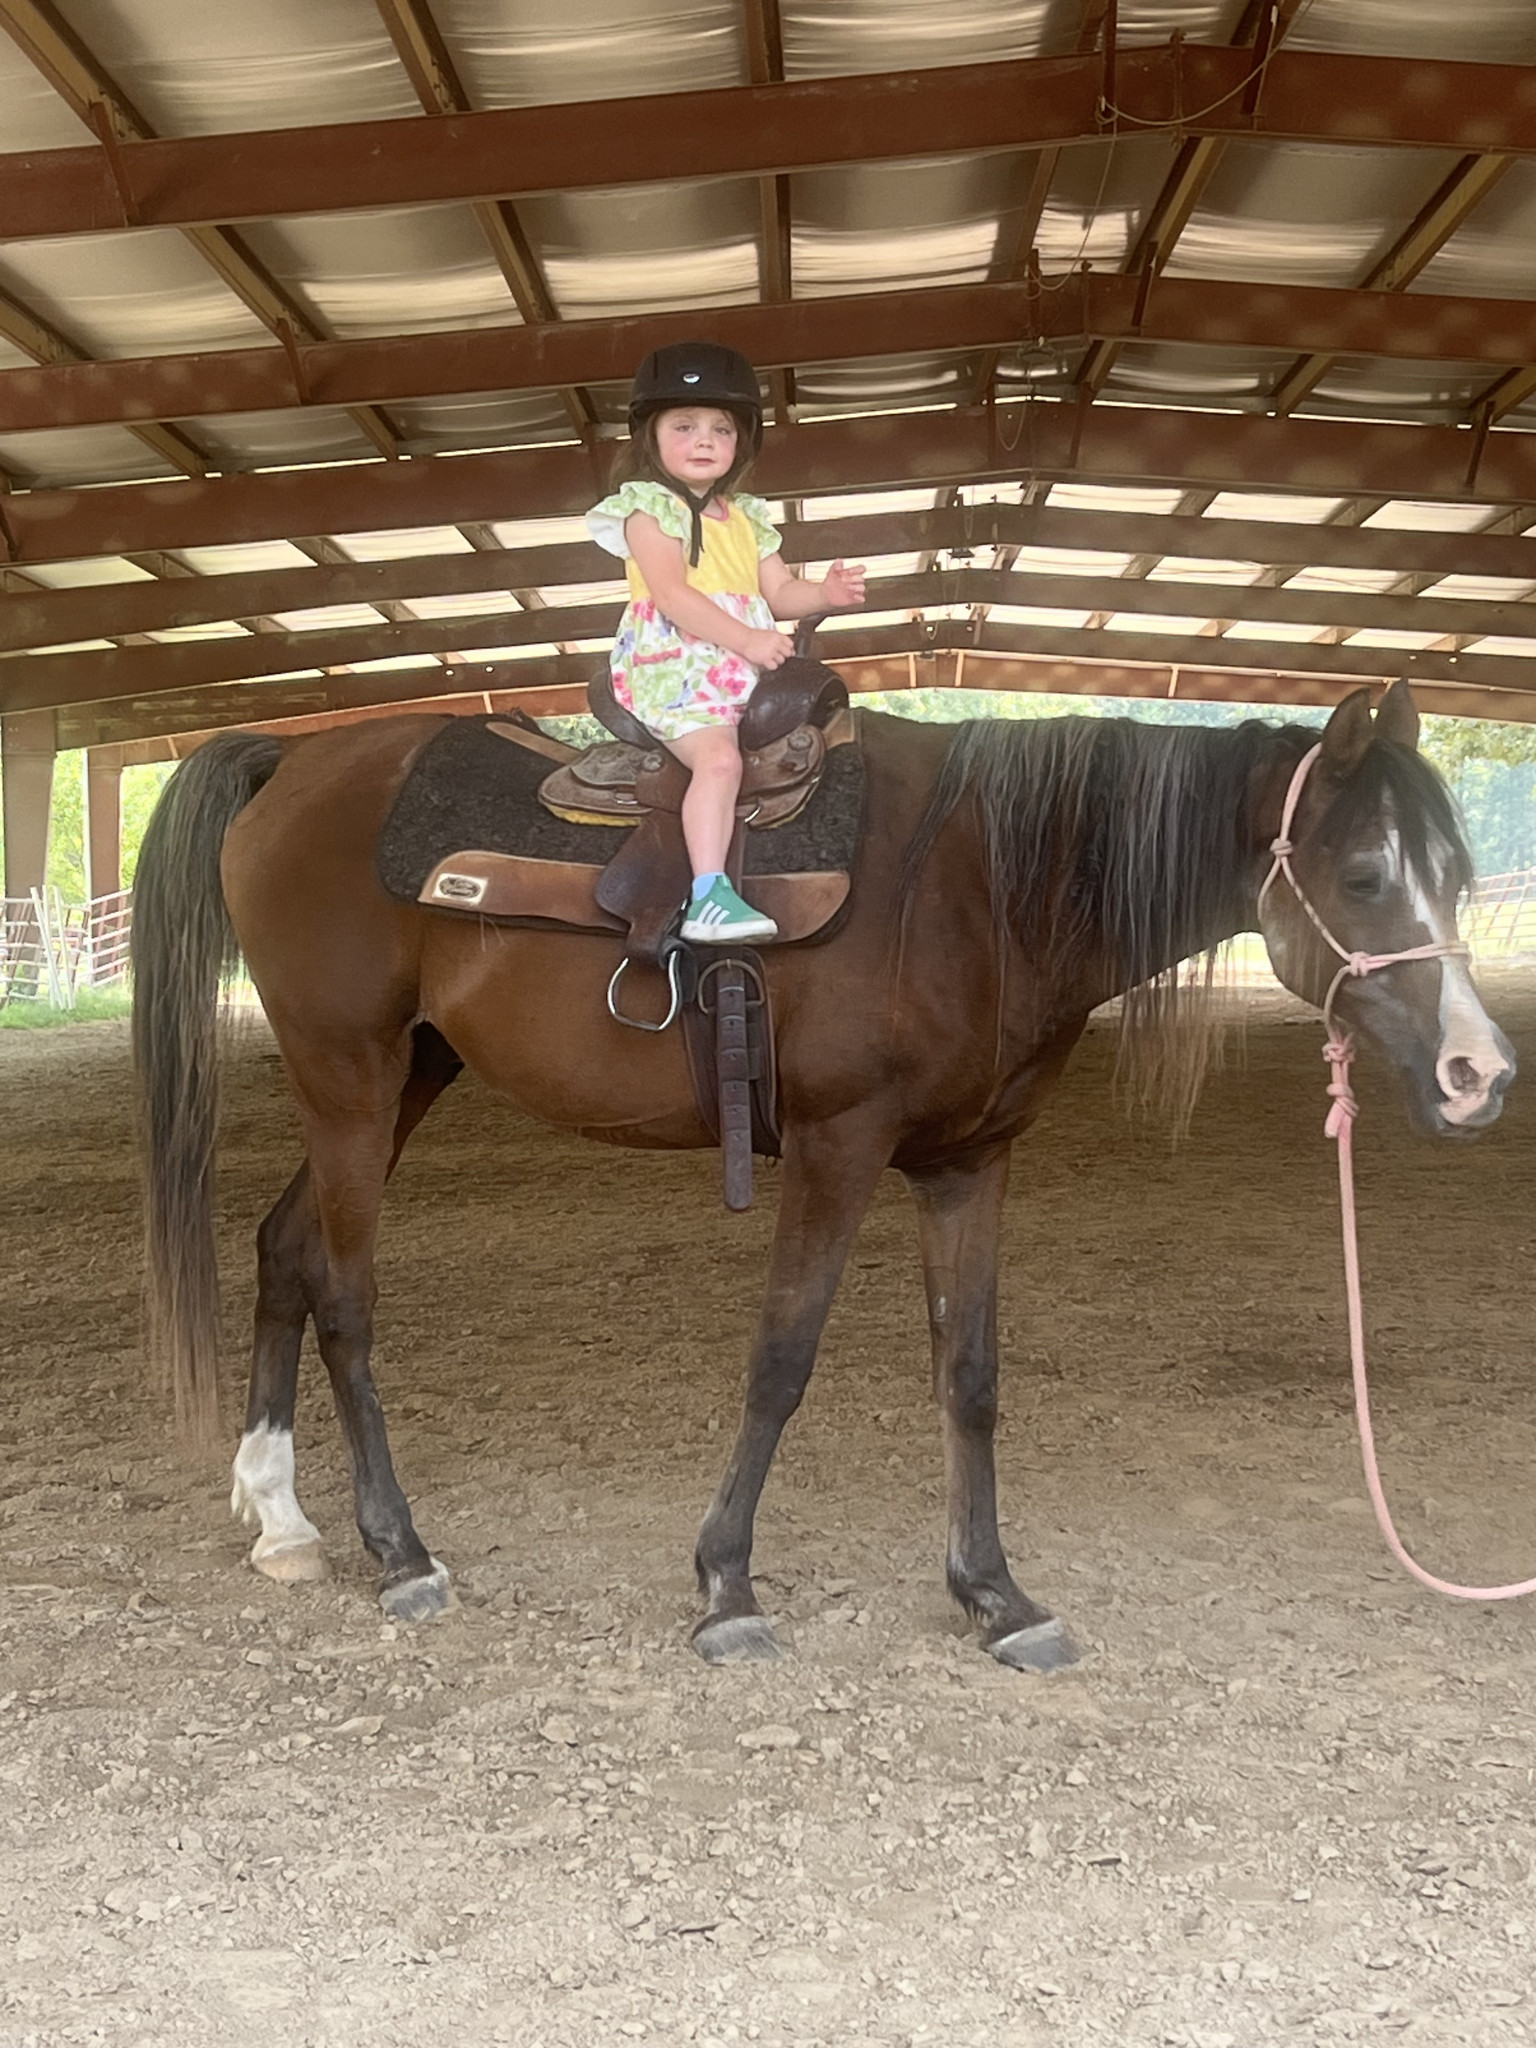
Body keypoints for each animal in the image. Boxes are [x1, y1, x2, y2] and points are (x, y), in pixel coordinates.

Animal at [130, 677, 1514, 1671]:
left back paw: (284, 1518)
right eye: (1364, 874)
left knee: (283, 1247)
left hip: (405, 1078)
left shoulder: (967, 1163)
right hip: (350, 1078)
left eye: (1453, 872)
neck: (975, 885)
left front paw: (996, 1595)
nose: (1478, 1075)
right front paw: (726, 1586)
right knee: (346, 1296)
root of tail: (293, 762)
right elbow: (782, 1359)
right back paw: (400, 1551)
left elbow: (971, 1375)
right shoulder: (840, 1149)